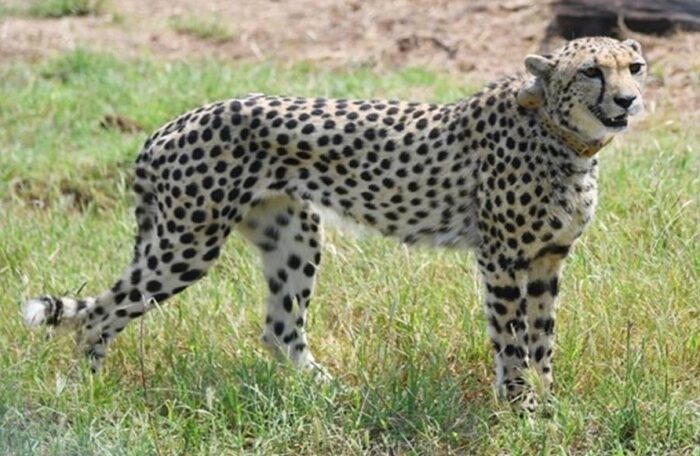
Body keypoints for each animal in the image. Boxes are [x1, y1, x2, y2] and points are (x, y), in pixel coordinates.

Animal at [21, 37, 644, 412]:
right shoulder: (502, 258)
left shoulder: (547, 258)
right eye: (591, 71)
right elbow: (511, 340)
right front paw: (521, 410)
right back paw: (86, 391)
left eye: (634, 68)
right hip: (187, 243)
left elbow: (542, 340)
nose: (629, 100)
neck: (566, 138)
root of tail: (172, 123)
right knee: (98, 314)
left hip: (292, 235)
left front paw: (550, 406)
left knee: (280, 328)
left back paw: (329, 394)